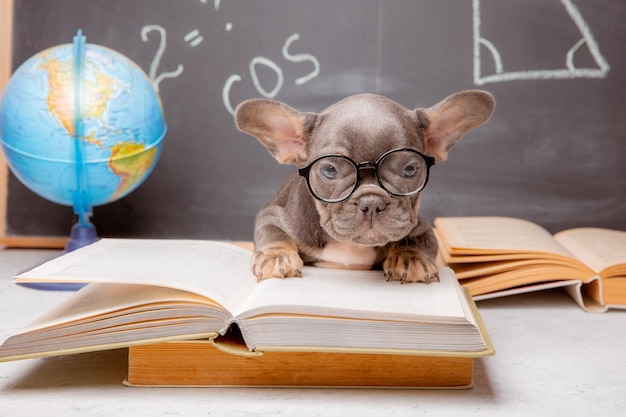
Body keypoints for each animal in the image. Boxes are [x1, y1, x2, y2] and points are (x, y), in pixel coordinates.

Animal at [234, 90, 492, 282]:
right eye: (330, 170)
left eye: (410, 169)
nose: (371, 203)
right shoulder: (272, 214)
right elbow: (271, 231)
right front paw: (276, 256)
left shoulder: (421, 226)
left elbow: (425, 239)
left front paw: (411, 258)